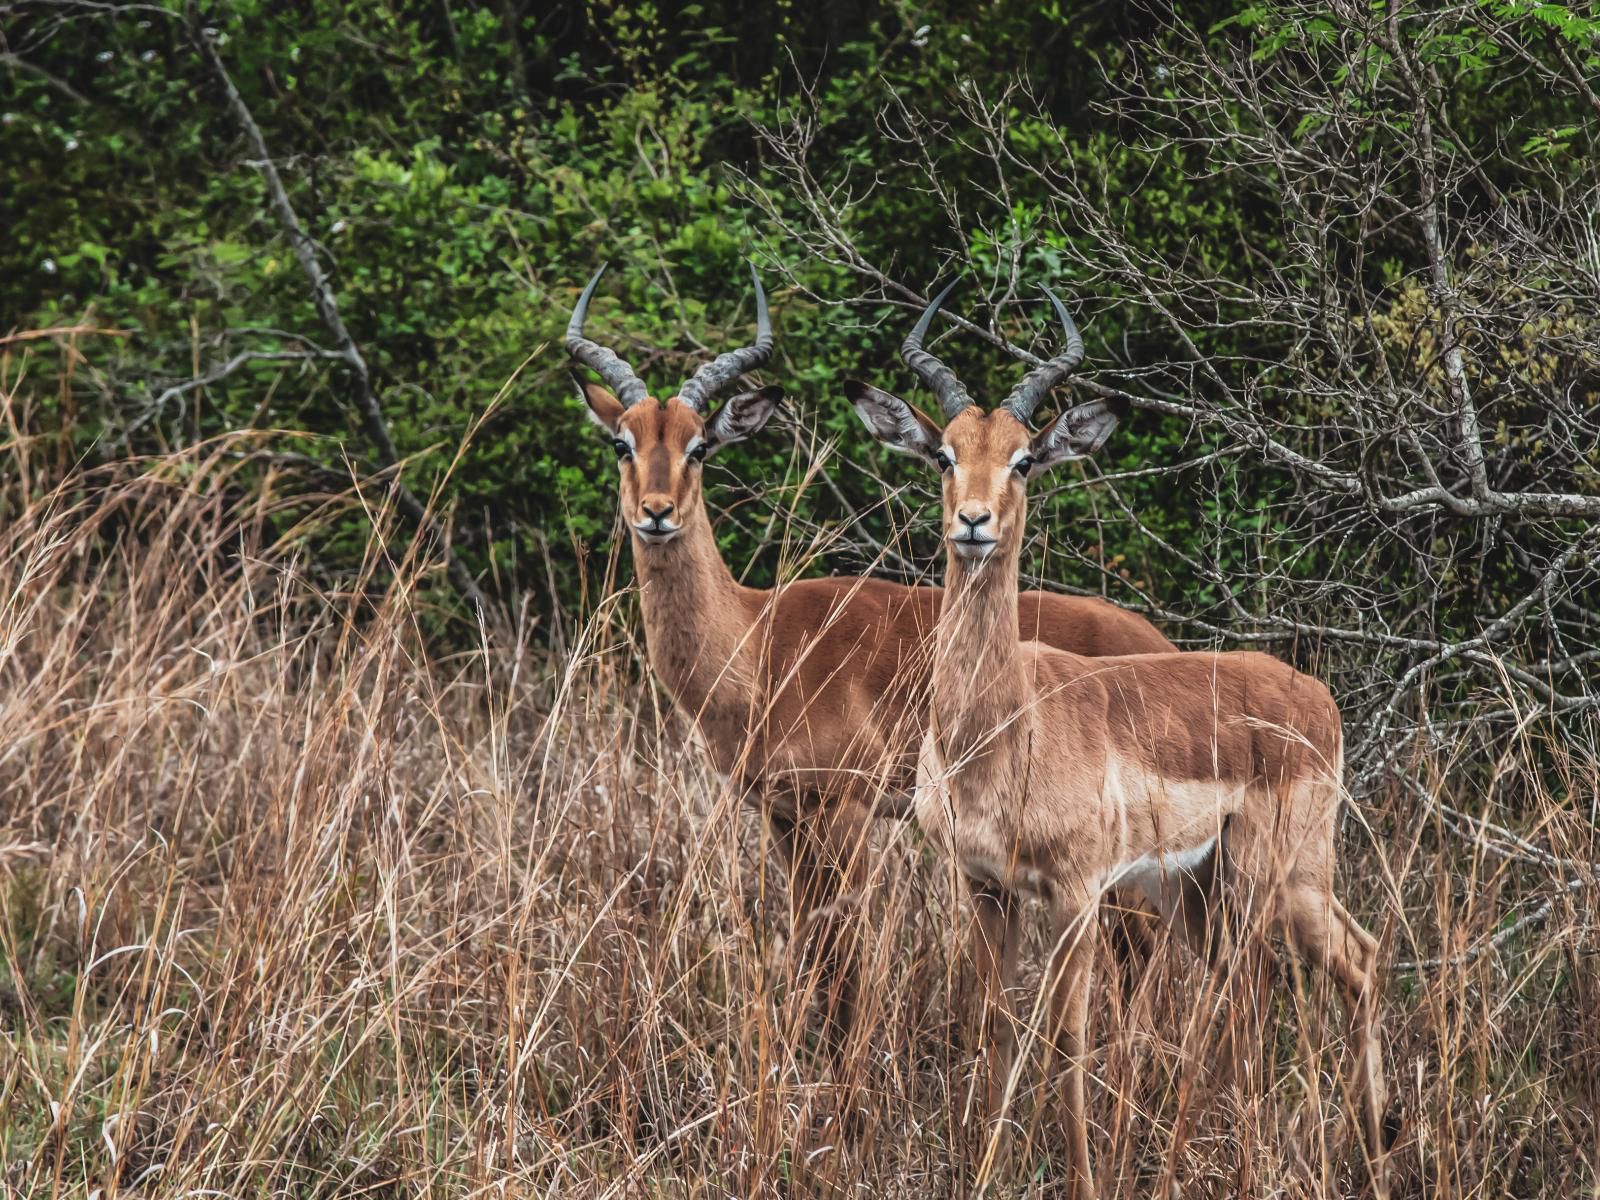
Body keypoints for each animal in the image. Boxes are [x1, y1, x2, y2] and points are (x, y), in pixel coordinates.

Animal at [566, 265, 1177, 1062]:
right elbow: (810, 948)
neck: (758, 644)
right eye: (622, 442)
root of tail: (1169, 650)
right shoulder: (785, 817)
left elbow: (844, 965)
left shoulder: (846, 813)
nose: (657, 512)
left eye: (699, 446)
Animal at [851, 284, 1388, 1200]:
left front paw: (1080, 1178)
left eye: (1026, 458)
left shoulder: (1075, 894)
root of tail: (1311, 694)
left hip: (1268, 877)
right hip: (1215, 891)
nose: (974, 523)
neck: (1002, 731)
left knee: (1286, 983)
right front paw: (984, 1169)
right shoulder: (984, 886)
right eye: (945, 454)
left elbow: (1068, 1040)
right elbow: (994, 1026)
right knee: (1312, 974)